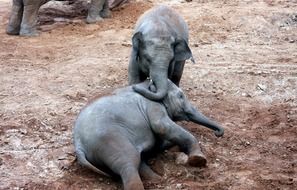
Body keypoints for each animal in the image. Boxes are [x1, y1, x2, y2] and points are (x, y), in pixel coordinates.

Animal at [73, 79, 222, 190]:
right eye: (180, 96)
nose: (218, 133)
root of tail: (78, 144)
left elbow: (160, 141)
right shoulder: (153, 106)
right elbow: (162, 127)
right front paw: (198, 160)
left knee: (137, 160)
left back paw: (158, 179)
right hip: (110, 139)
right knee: (129, 163)